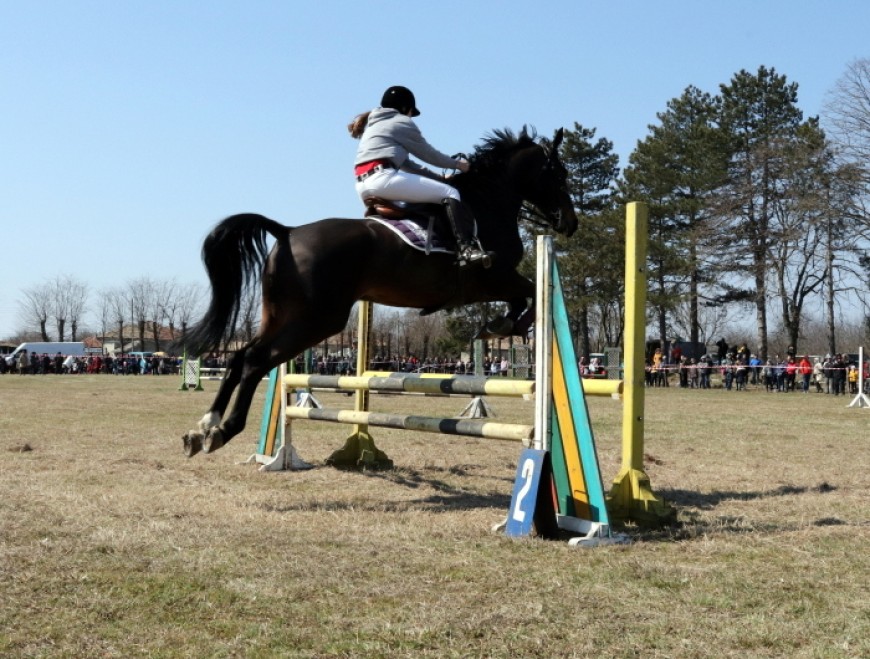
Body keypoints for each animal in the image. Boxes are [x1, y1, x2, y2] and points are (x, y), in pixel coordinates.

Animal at [182, 127, 580, 458]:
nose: (570, 223)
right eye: (558, 174)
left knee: (240, 356)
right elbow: (529, 294)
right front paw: (506, 327)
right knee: (255, 359)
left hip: (281, 314)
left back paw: (204, 427)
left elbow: (522, 298)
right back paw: (223, 430)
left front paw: (500, 326)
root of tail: (287, 231)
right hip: (317, 320)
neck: (487, 205)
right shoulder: (493, 277)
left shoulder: (490, 285)